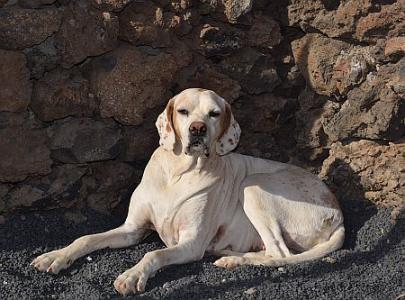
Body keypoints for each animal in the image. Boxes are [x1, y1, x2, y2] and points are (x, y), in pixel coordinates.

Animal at [30, 88, 344, 296]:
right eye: (182, 111)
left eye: (214, 114)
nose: (198, 129)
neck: (178, 174)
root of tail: (339, 213)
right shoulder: (132, 229)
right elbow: (86, 238)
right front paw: (55, 256)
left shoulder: (190, 244)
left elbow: (152, 255)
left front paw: (133, 275)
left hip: (253, 185)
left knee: (280, 254)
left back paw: (232, 258)